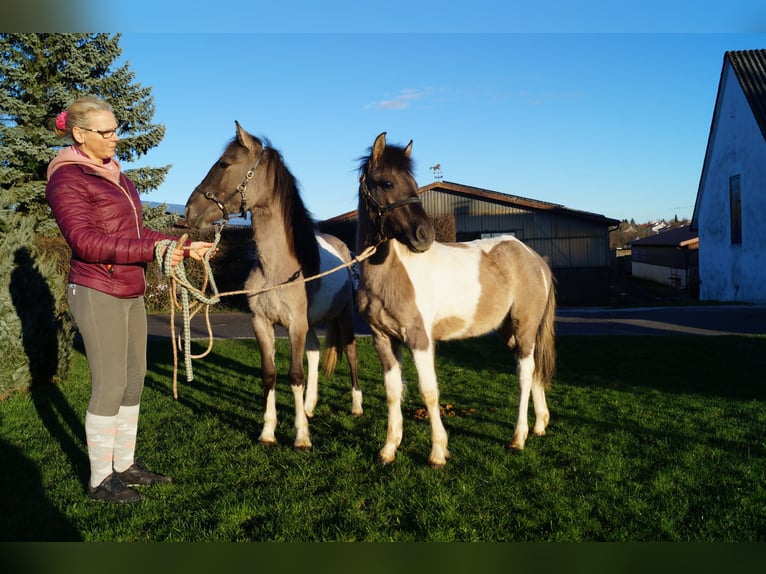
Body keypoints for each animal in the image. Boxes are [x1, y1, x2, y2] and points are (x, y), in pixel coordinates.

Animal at [187, 124, 366, 452]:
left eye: (224, 164)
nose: (190, 211)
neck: (276, 269)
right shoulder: (263, 324)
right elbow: (270, 375)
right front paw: (268, 432)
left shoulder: (294, 325)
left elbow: (294, 376)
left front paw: (301, 436)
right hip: (311, 324)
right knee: (314, 353)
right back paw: (309, 406)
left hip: (344, 315)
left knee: (350, 351)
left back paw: (356, 406)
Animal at [356, 133, 556, 470]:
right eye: (386, 182)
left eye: (413, 182)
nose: (423, 235)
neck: (392, 273)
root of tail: (535, 259)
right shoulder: (383, 338)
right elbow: (393, 392)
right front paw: (388, 449)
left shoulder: (420, 339)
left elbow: (429, 392)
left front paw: (438, 452)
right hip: (510, 332)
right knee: (533, 373)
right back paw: (540, 425)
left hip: (524, 327)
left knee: (524, 375)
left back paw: (519, 437)